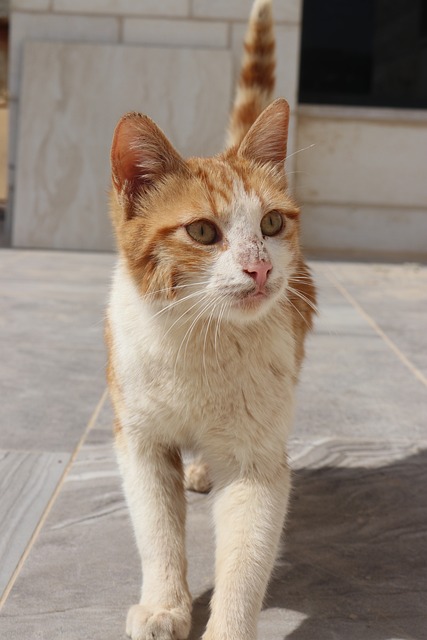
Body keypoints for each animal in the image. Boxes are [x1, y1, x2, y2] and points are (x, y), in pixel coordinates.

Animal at [105, 1, 316, 640]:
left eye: (271, 223)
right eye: (202, 230)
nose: (259, 268)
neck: (200, 344)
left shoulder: (257, 463)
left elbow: (245, 562)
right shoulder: (140, 441)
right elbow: (158, 534)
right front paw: (163, 606)